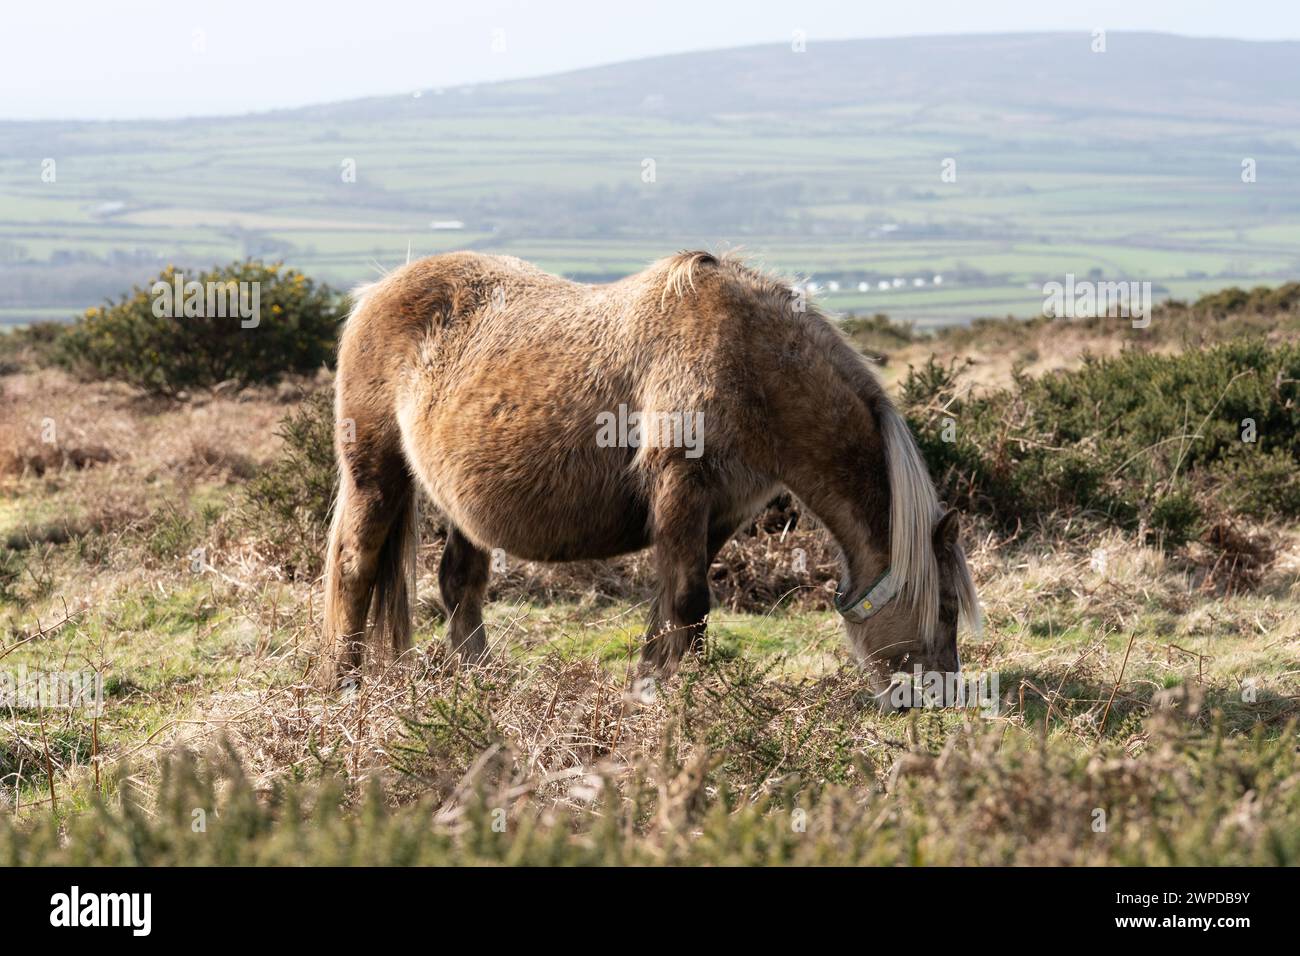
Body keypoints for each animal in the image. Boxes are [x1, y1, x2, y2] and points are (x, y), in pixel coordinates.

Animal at [322, 252, 977, 702]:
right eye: (946, 606)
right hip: (375, 474)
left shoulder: (720, 511)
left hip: (462, 504)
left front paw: (652, 683)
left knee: (461, 583)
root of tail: (375, 293)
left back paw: (481, 683)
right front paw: (678, 694)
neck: (750, 364)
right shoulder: (681, 489)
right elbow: (689, 600)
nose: (939, 698)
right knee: (356, 566)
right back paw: (345, 685)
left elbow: (676, 603)